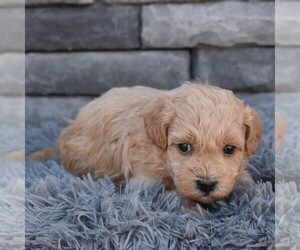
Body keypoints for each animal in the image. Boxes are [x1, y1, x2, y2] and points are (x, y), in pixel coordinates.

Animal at [28, 83, 262, 203]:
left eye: (229, 149)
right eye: (184, 147)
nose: (206, 184)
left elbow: (244, 180)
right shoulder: (144, 181)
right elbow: (173, 195)